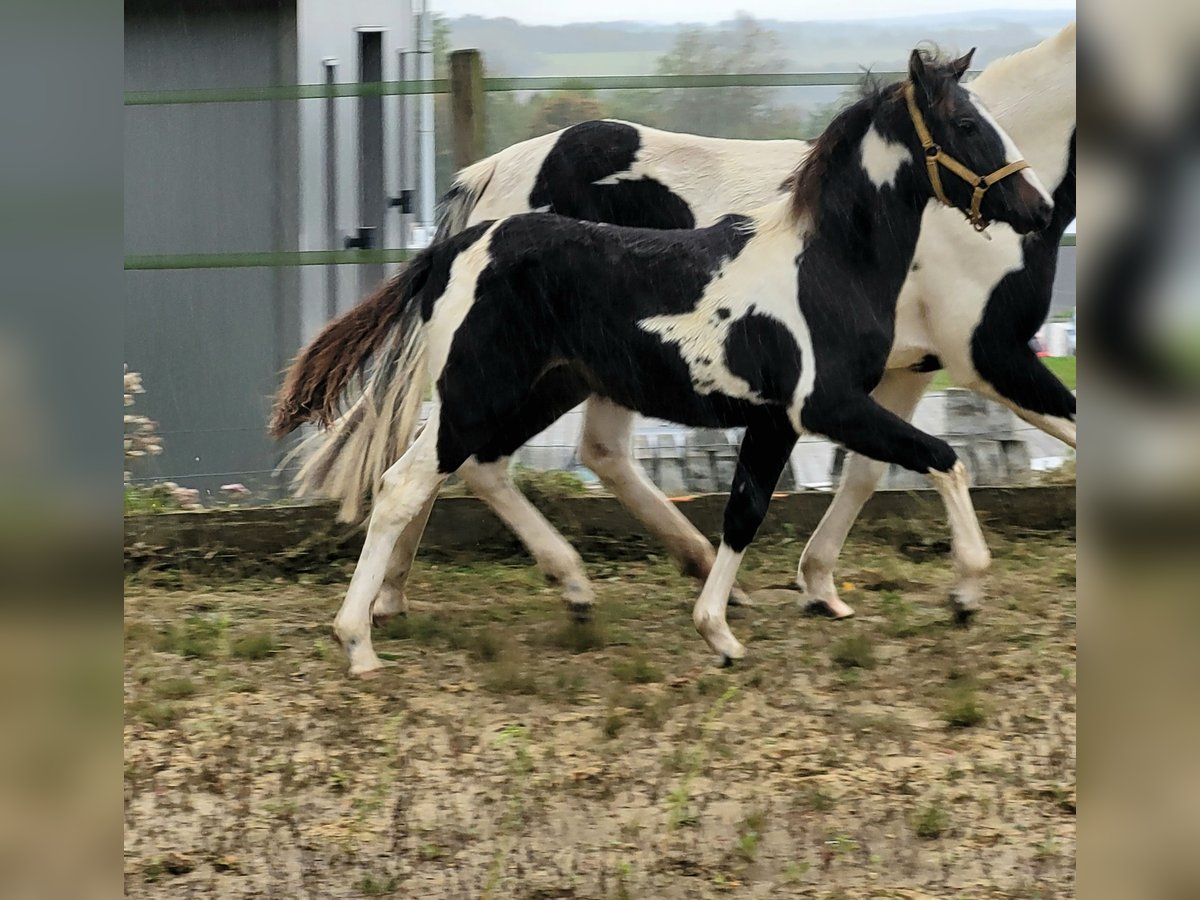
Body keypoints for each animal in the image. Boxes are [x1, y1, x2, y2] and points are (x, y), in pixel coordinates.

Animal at [272, 52, 1051, 676]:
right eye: (968, 125)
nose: (1038, 208)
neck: (824, 267)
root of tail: (448, 252)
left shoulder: (777, 420)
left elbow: (746, 511)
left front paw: (722, 629)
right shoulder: (827, 405)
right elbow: (944, 458)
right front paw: (966, 590)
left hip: (533, 390)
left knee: (483, 468)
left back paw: (564, 587)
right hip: (478, 394)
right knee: (404, 484)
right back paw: (359, 642)